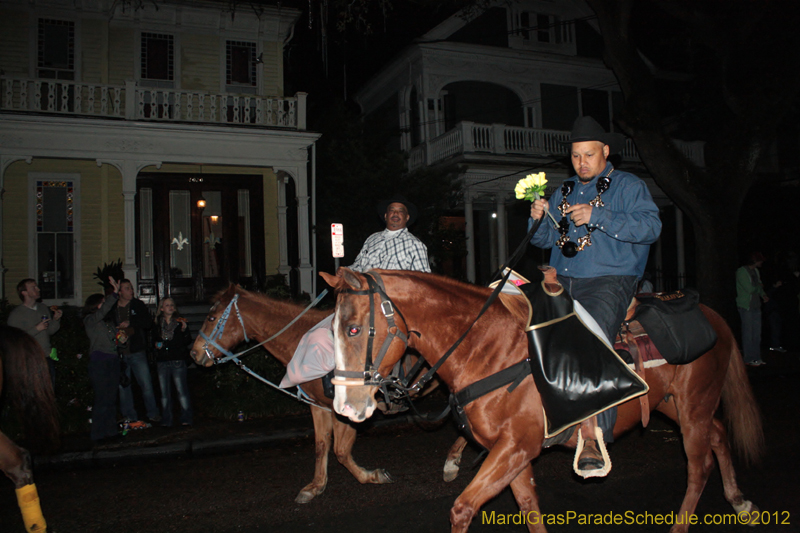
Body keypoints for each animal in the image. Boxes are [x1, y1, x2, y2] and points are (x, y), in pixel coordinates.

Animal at [188, 284, 468, 500]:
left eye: (212, 318)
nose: (194, 353)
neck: (301, 342)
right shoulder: (319, 406)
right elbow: (322, 445)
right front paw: (315, 486)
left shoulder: (346, 410)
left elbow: (341, 451)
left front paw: (372, 476)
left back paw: (452, 463)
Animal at [322, 270, 764, 532]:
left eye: (354, 328)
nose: (343, 406)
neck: (492, 349)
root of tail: (713, 315)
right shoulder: (512, 453)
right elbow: (528, 506)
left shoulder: (517, 447)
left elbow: (463, 508)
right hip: (672, 404)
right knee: (719, 434)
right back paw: (738, 499)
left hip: (692, 407)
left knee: (699, 465)